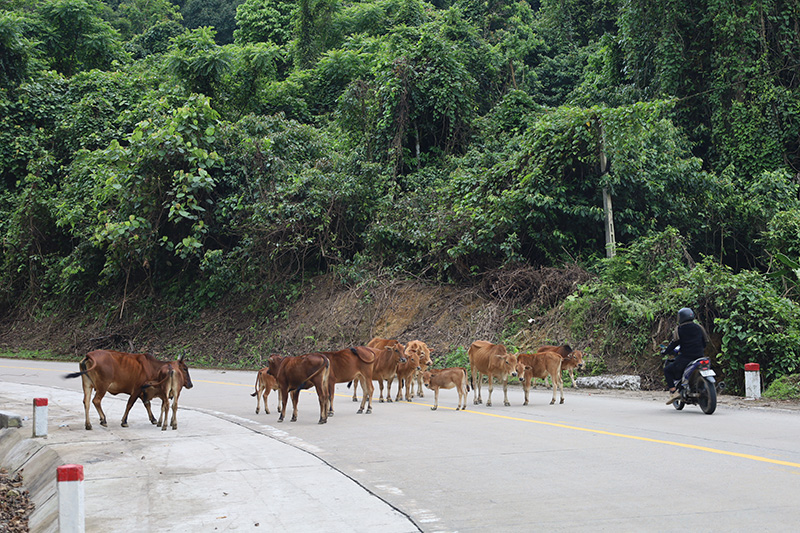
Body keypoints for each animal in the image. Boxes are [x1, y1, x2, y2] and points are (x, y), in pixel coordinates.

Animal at [64, 348, 192, 430]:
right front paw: (124, 421)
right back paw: (103, 419)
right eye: (185, 368)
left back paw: (88, 424)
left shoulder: (143, 392)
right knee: (96, 401)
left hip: (87, 384)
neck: (153, 367)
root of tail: (90, 354)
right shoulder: (138, 389)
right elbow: (130, 404)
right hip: (102, 386)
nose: (190, 384)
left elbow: (147, 404)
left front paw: (153, 419)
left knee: (86, 402)